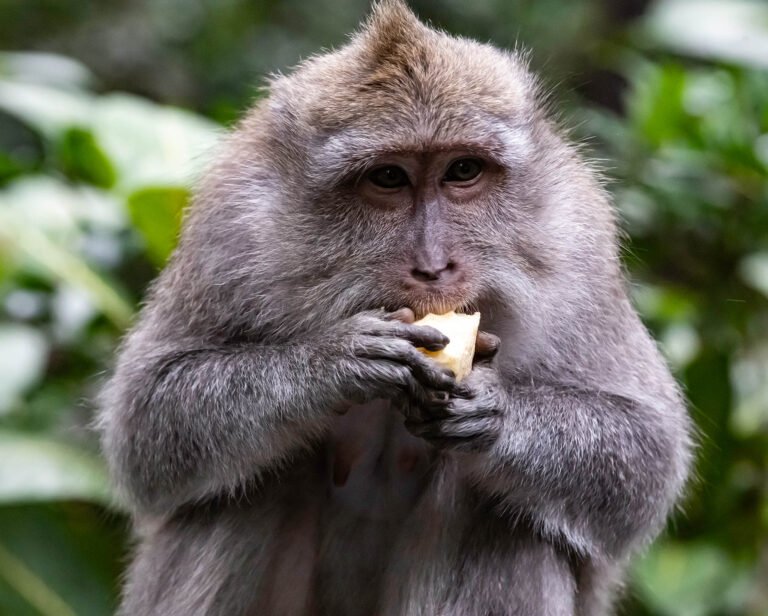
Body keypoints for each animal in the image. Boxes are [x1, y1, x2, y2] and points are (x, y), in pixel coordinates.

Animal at [96, 2, 688, 612]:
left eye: (462, 171)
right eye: (388, 177)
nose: (433, 265)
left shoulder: (578, 242)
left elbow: (648, 450)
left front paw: (496, 414)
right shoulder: (230, 225)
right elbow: (145, 420)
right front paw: (330, 366)